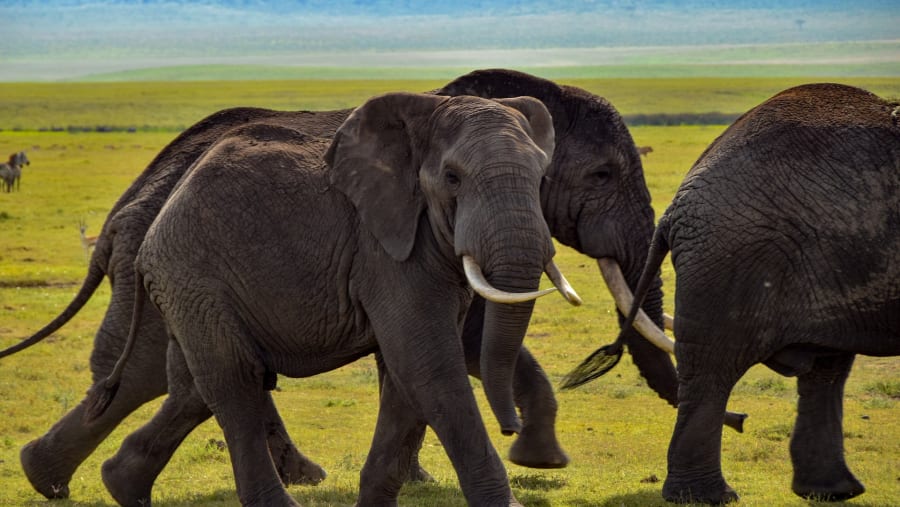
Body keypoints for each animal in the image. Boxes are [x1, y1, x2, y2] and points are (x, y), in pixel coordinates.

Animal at [85, 91, 576, 507]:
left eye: (541, 178)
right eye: (452, 178)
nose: (511, 427)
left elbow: (405, 374)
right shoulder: (384, 248)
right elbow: (429, 365)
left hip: (190, 288)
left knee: (192, 387)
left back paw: (121, 484)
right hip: (192, 274)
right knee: (235, 382)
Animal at [563, 83, 900, 504]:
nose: (742, 420)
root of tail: (678, 203)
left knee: (826, 367)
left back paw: (832, 491)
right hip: (733, 258)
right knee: (713, 369)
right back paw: (708, 496)